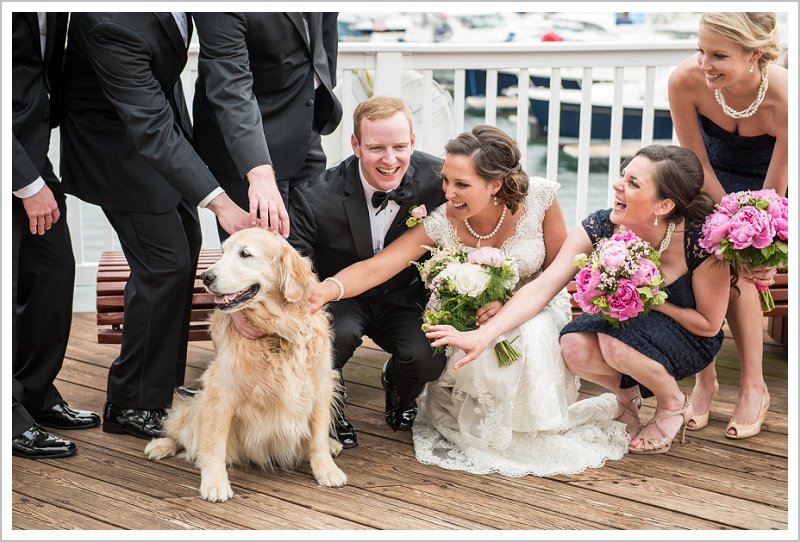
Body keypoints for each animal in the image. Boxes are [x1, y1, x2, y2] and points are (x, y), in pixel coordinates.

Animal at [145, 227, 346, 504]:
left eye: (245, 254)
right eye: (222, 252)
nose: (206, 277)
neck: (277, 333)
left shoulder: (320, 385)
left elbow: (317, 435)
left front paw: (326, 468)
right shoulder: (221, 391)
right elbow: (213, 443)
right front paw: (215, 482)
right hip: (196, 403)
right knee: (183, 429)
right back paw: (161, 445)